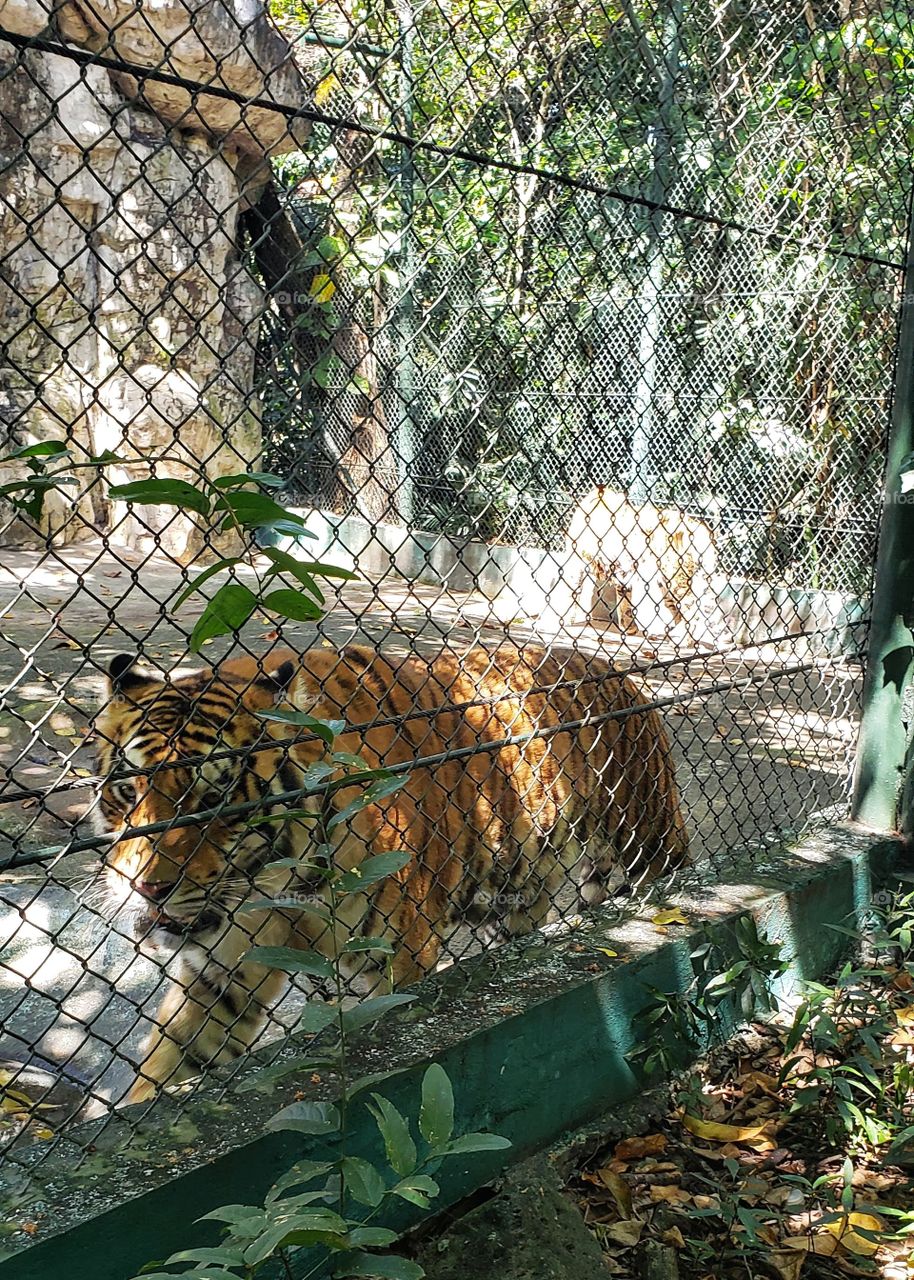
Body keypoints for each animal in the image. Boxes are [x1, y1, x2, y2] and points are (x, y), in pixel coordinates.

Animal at [94, 642, 690, 1101]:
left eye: (215, 798)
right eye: (126, 789)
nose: (145, 887)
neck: (278, 883)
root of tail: (625, 680)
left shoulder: (398, 958)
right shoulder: (224, 968)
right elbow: (169, 1059)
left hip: (650, 844)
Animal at [547, 487, 727, 648]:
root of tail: (703, 531)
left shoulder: (577, 562)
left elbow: (569, 590)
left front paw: (557, 619)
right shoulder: (622, 573)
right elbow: (624, 601)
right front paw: (629, 628)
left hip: (677, 579)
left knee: (693, 610)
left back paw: (683, 641)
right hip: (670, 585)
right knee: (688, 610)